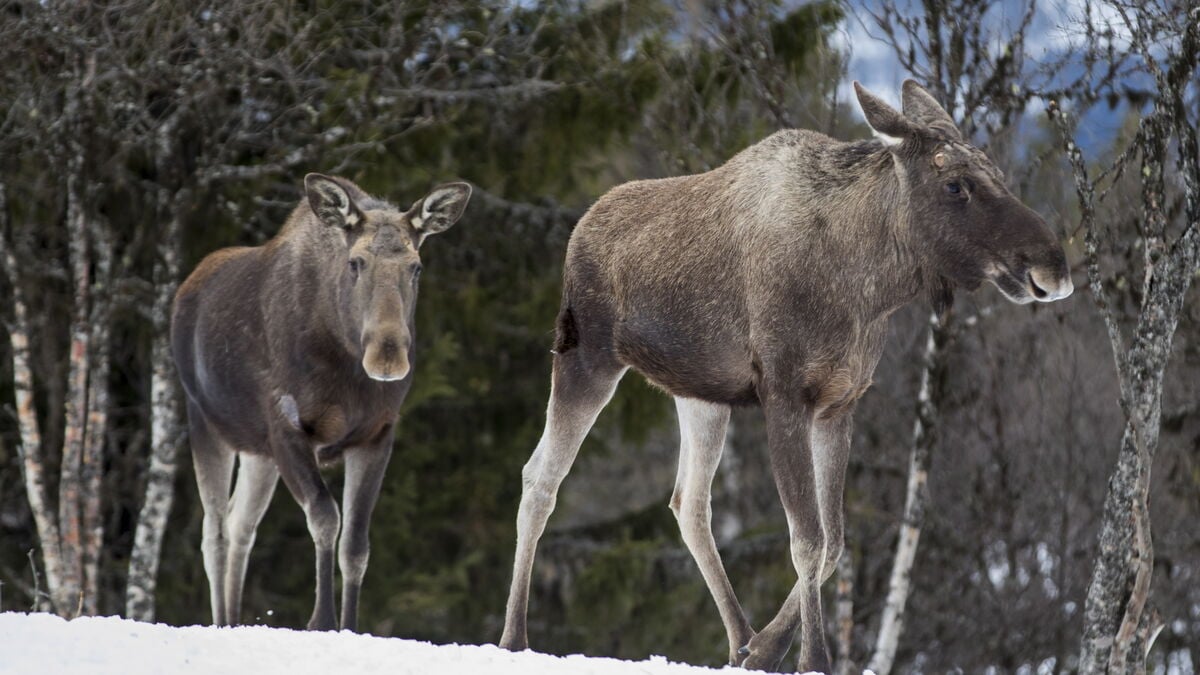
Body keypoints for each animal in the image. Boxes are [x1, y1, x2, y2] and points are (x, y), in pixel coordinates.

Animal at [172, 173, 471, 631]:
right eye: (356, 262)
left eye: (416, 266)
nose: (388, 356)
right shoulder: (289, 429)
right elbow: (326, 518)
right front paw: (322, 619)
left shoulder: (375, 436)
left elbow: (356, 544)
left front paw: (349, 624)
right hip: (205, 422)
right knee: (215, 532)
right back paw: (222, 621)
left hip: (258, 453)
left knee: (242, 525)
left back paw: (237, 618)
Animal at [498, 80, 1073, 672]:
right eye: (956, 184)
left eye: (996, 171)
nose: (1052, 267)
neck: (869, 286)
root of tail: (579, 229)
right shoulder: (785, 394)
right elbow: (808, 540)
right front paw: (812, 656)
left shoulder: (839, 403)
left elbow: (834, 541)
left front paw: (767, 647)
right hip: (586, 358)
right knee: (540, 478)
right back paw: (514, 637)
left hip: (699, 395)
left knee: (689, 503)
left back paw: (739, 637)